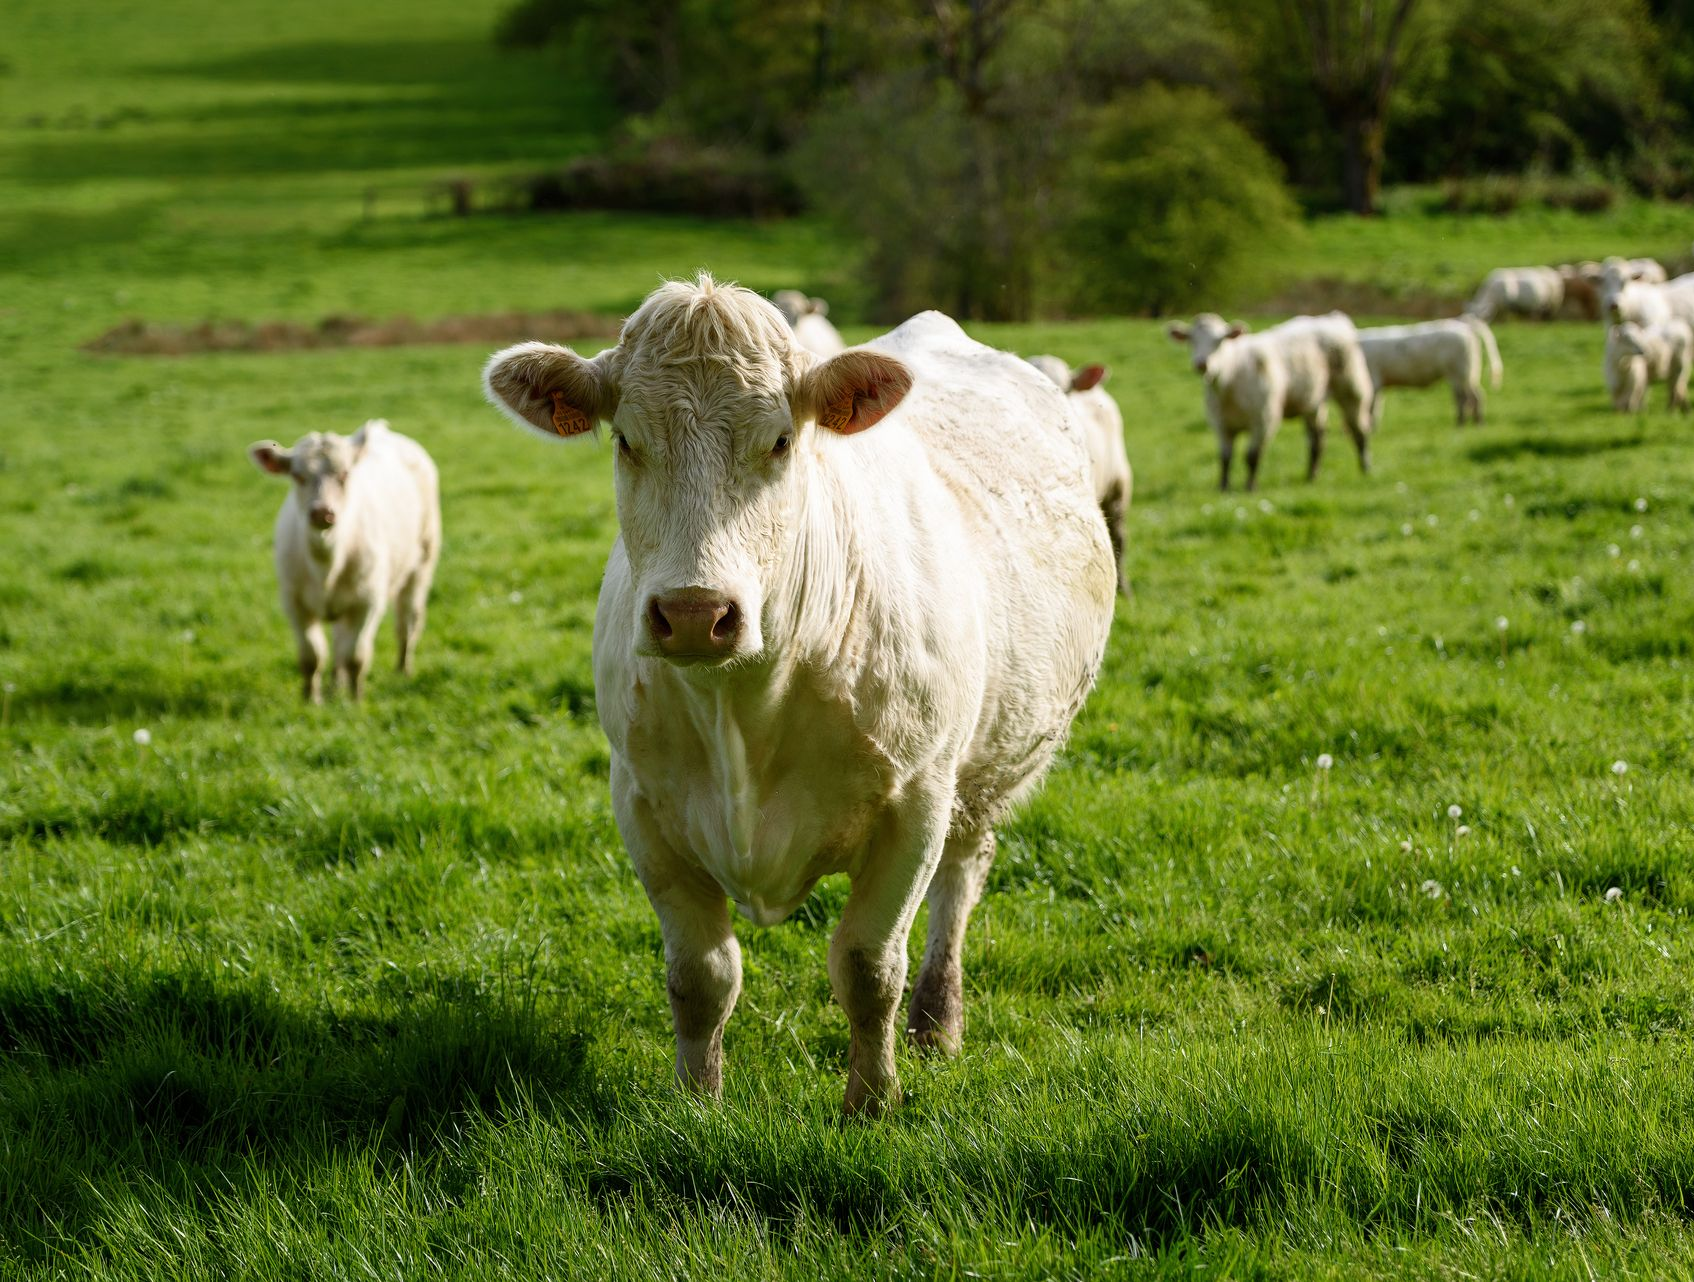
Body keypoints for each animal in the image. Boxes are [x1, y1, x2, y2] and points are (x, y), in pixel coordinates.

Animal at [481, 277, 1116, 1115]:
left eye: (782, 441)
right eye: (625, 439)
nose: (694, 612)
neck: (744, 709)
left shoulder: (916, 803)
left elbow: (868, 967)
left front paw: (871, 1104)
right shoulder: (641, 805)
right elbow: (701, 976)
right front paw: (698, 1100)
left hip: (984, 775)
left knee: (959, 884)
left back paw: (938, 1021)